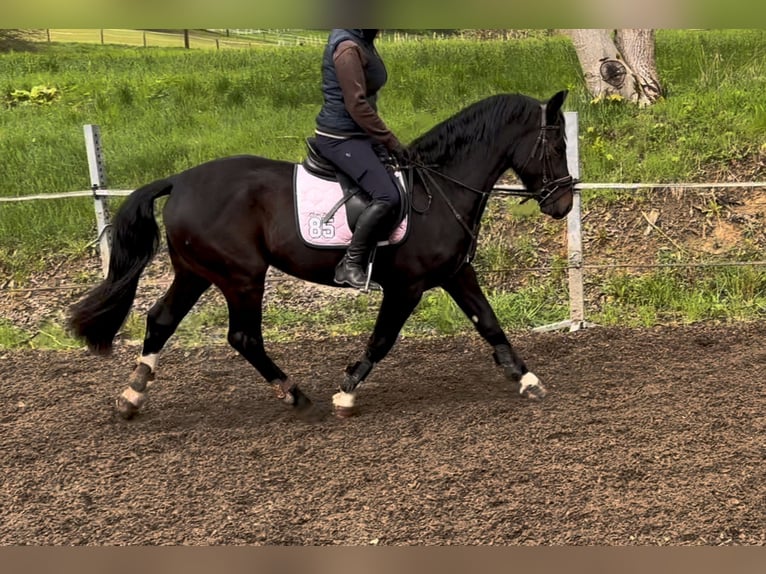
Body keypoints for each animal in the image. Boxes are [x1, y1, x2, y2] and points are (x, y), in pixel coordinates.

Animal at [67, 91, 576, 424]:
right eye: (555, 145)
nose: (563, 204)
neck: (440, 189)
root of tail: (181, 180)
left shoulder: (456, 273)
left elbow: (489, 323)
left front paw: (527, 379)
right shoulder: (407, 287)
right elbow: (383, 339)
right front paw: (346, 393)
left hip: (196, 271)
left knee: (161, 320)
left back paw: (132, 396)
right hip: (242, 276)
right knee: (243, 337)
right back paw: (294, 396)